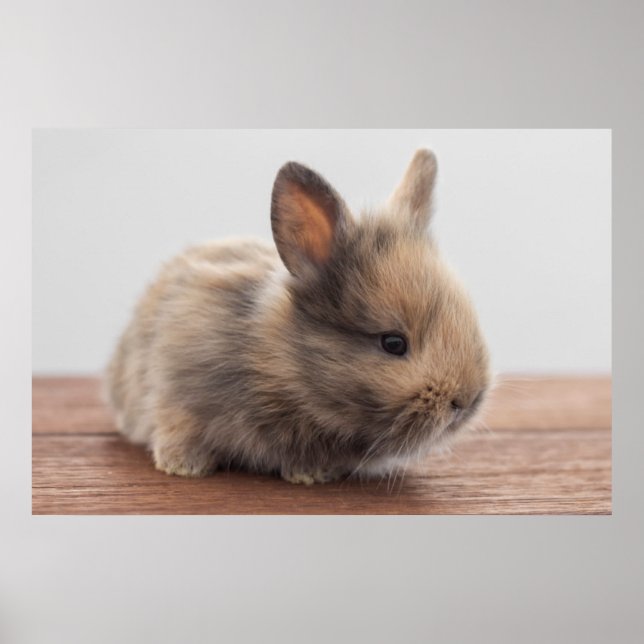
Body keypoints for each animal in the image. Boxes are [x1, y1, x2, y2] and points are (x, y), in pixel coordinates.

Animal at [105, 149, 491, 484]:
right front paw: (184, 467)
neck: (279, 367)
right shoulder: (177, 390)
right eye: (393, 343)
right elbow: (178, 427)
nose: (465, 401)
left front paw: (311, 474)